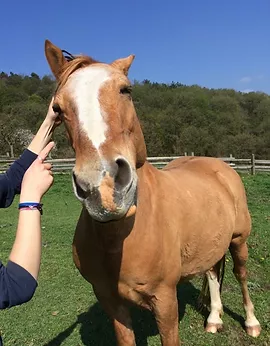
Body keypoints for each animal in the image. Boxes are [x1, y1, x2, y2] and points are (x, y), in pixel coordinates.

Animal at [44, 39, 262, 344]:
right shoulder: (112, 302)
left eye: (126, 90)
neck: (122, 237)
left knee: (240, 273)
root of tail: (219, 165)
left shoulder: (165, 301)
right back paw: (214, 318)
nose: (104, 188)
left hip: (239, 240)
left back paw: (252, 323)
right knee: (212, 272)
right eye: (58, 108)